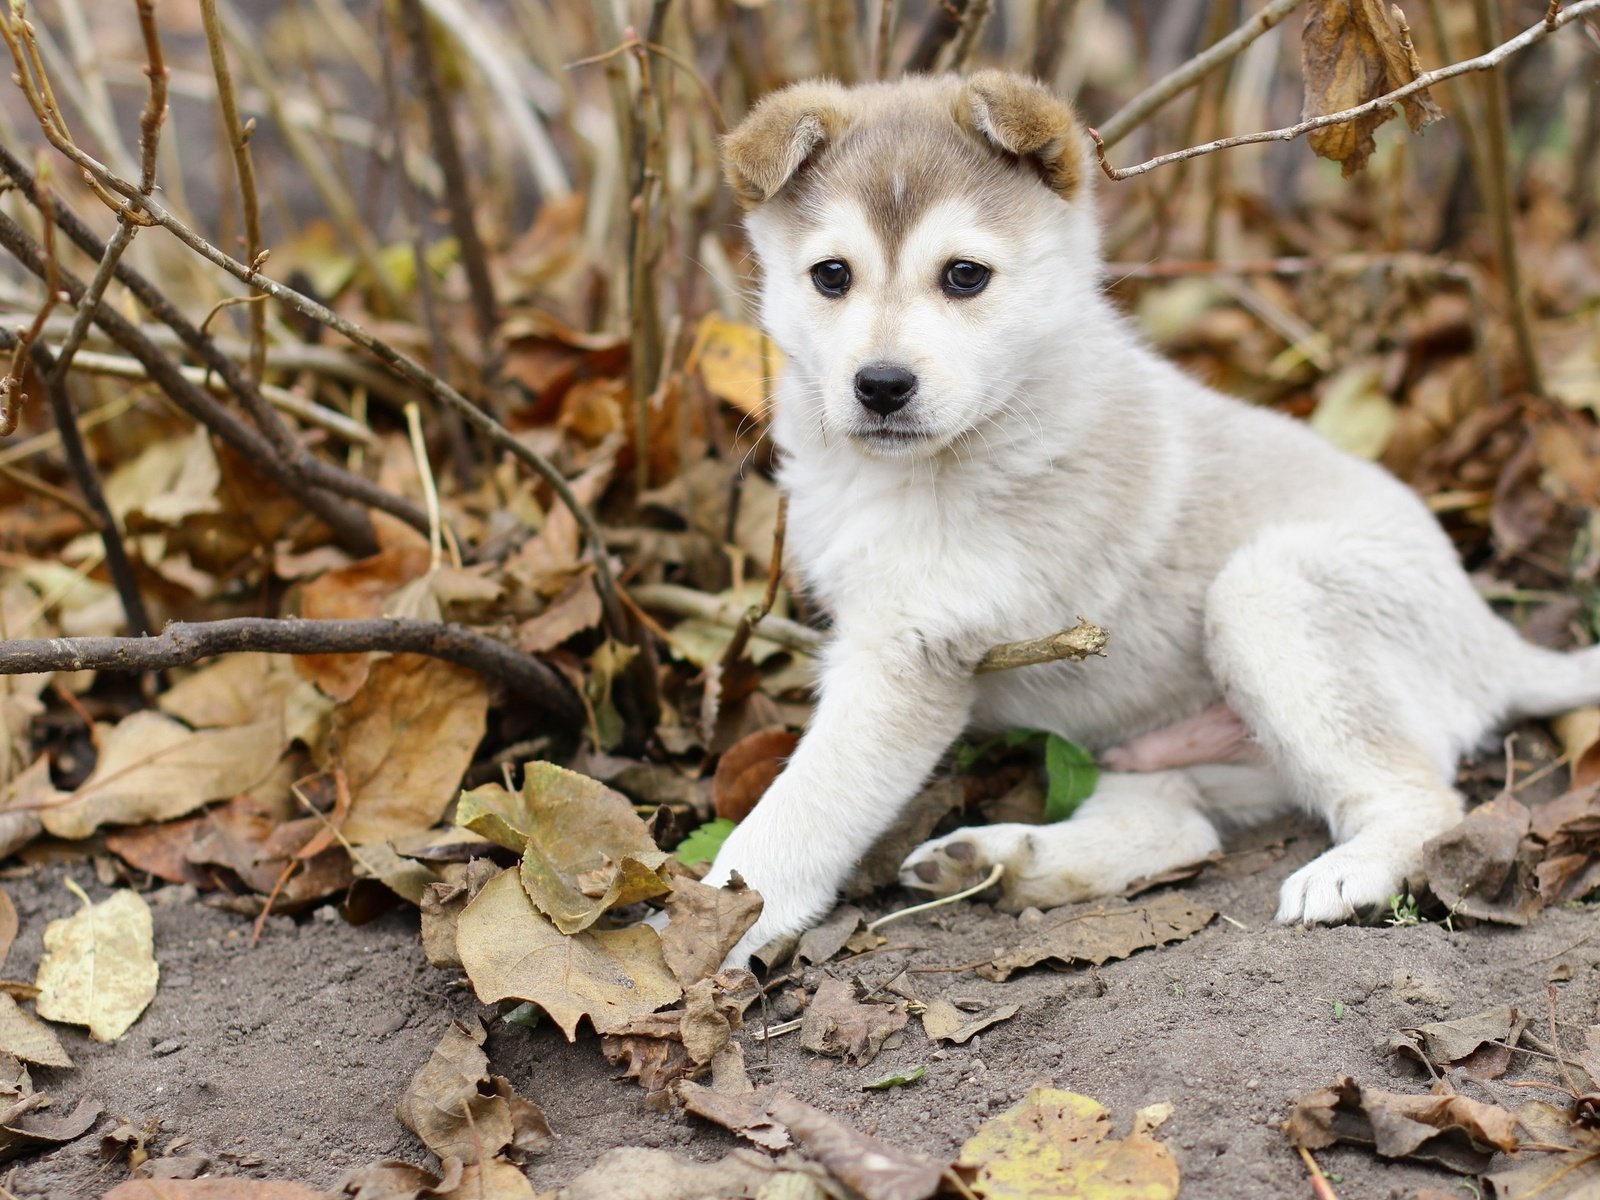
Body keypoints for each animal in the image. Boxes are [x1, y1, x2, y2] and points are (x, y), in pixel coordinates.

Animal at [700, 72, 1600, 966]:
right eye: (831, 276)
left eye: (963, 276)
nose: (881, 386)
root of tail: (1493, 637)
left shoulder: (908, 656)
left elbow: (800, 811)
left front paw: (720, 927)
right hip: (1160, 750)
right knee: (1179, 832)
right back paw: (1002, 861)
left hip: (1266, 594)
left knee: (1421, 800)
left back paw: (1350, 876)